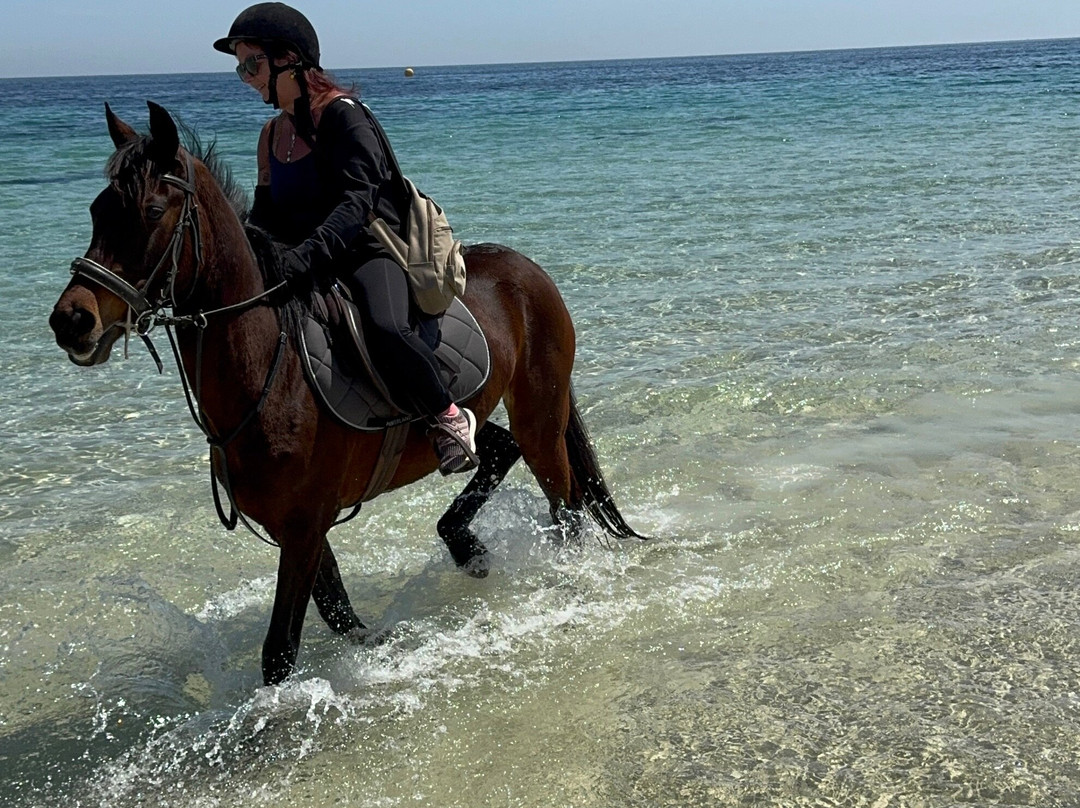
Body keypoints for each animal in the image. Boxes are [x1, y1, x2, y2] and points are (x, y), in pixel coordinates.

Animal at [48, 101, 642, 686]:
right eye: (97, 211)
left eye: (151, 211)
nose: (71, 320)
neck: (270, 368)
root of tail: (528, 268)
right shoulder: (299, 527)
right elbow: (338, 614)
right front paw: (379, 648)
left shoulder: (305, 526)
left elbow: (280, 651)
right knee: (497, 451)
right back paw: (465, 546)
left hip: (541, 413)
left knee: (563, 506)